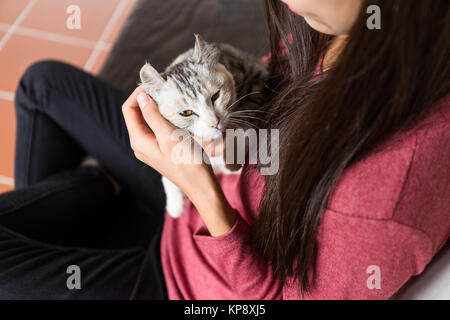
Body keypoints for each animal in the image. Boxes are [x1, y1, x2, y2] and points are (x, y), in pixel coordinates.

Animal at [139, 35, 268, 219]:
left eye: (215, 96)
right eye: (186, 113)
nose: (214, 122)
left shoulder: (257, 79)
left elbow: (243, 123)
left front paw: (232, 160)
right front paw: (175, 205)